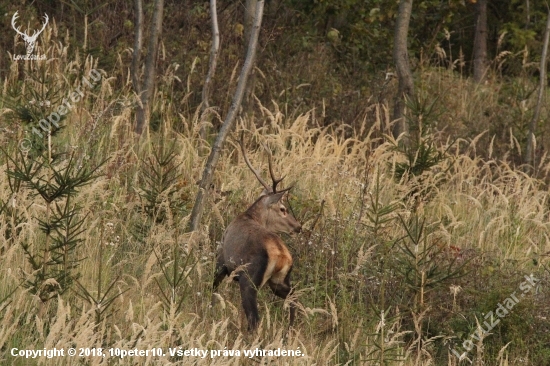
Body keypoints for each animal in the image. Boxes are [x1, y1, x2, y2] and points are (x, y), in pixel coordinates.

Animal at [215, 134, 302, 332]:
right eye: (283, 209)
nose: (298, 226)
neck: (250, 216)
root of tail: (282, 256)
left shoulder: (222, 258)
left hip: (249, 279)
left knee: (255, 318)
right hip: (278, 281)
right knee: (294, 299)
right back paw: (288, 332)